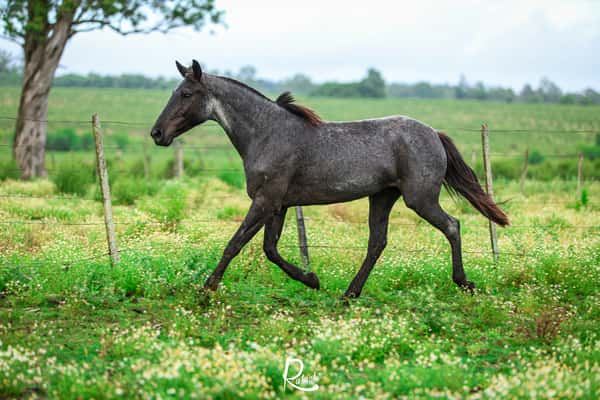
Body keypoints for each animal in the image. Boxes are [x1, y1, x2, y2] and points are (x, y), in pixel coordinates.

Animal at [150, 58, 506, 296]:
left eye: (185, 94)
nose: (157, 134)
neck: (267, 133)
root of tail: (434, 133)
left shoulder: (266, 201)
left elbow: (235, 243)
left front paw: (206, 289)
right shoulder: (278, 204)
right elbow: (270, 249)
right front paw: (312, 279)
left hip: (419, 198)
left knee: (451, 226)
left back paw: (465, 283)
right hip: (383, 196)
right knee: (377, 242)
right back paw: (349, 294)